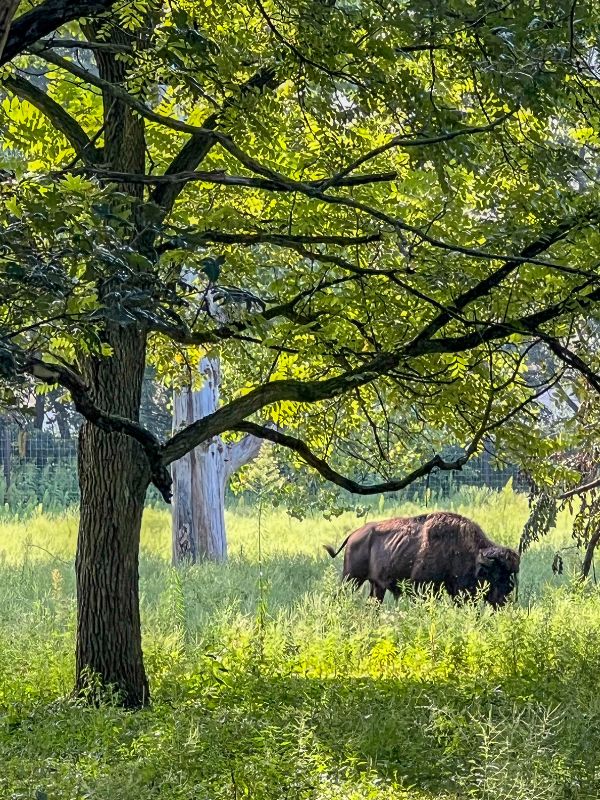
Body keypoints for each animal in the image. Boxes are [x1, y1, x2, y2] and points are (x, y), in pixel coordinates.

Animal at [324, 512, 520, 608]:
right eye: (496, 573)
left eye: (511, 573)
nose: (505, 598)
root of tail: (353, 535)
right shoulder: (424, 588)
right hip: (351, 578)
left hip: (376, 585)